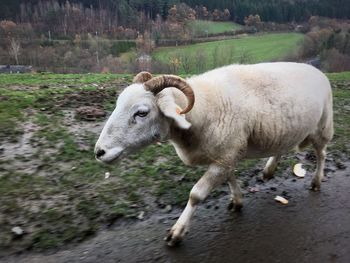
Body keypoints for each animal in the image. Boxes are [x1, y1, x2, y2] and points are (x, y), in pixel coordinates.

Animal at [93, 63, 334, 248]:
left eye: (142, 112)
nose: (99, 152)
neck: (200, 111)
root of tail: (317, 70)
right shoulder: (226, 155)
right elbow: (230, 177)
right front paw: (237, 201)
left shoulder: (225, 155)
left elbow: (196, 194)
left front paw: (177, 232)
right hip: (286, 130)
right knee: (283, 147)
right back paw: (268, 170)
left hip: (323, 127)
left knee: (322, 153)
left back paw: (316, 181)